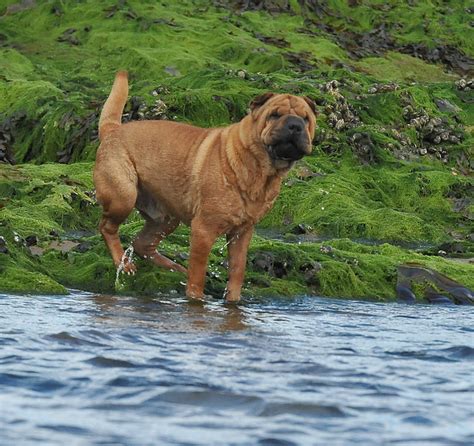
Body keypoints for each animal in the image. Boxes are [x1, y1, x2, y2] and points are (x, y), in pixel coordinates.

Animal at [94, 72, 316, 304]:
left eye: (306, 119)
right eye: (274, 115)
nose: (295, 125)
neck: (259, 170)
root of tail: (113, 130)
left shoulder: (242, 233)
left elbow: (237, 270)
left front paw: (233, 301)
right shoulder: (203, 229)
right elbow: (198, 273)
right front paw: (196, 299)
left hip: (165, 217)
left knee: (141, 243)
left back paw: (173, 267)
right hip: (124, 196)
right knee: (107, 228)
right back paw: (123, 263)